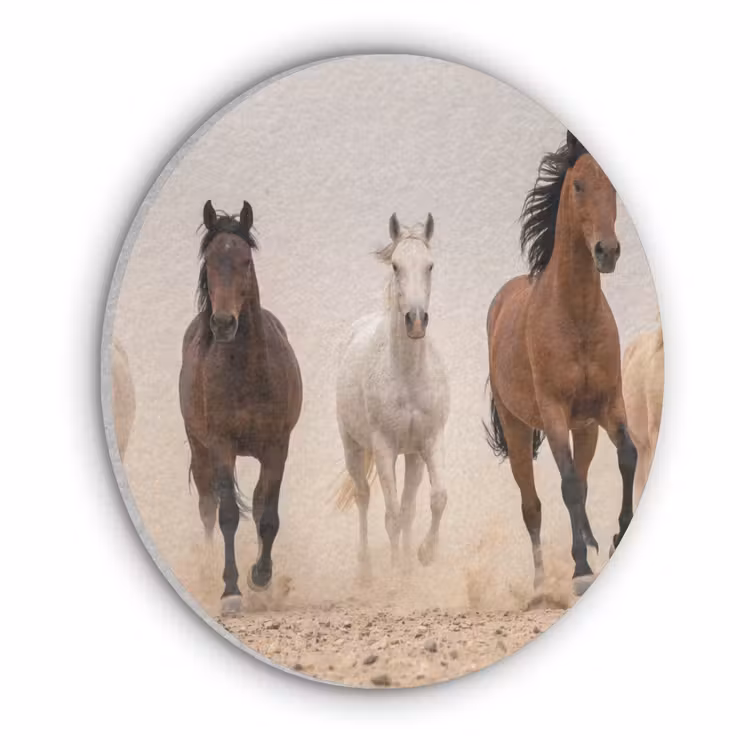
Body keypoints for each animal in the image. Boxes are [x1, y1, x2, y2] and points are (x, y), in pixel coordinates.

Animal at [179, 200, 302, 605]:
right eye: (210, 262)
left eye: (246, 261)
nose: (223, 323)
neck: (246, 372)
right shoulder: (220, 445)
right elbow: (228, 516)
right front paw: (230, 589)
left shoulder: (278, 447)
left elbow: (268, 515)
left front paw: (260, 576)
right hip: (199, 448)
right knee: (208, 506)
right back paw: (208, 568)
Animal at [334, 213, 449, 577]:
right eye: (396, 266)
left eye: (430, 265)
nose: (416, 321)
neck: (408, 377)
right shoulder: (384, 448)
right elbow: (392, 515)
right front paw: (397, 574)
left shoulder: (429, 441)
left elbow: (436, 498)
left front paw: (424, 555)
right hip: (354, 448)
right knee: (364, 496)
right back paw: (366, 571)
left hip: (411, 456)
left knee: (409, 506)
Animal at [486, 131, 637, 596]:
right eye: (578, 186)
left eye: (613, 189)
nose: (607, 252)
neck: (577, 317)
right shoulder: (553, 413)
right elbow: (567, 487)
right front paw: (581, 569)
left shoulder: (608, 405)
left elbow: (628, 456)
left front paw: (617, 536)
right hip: (517, 429)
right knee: (532, 505)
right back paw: (539, 585)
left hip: (584, 429)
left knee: (583, 484)